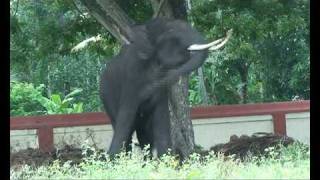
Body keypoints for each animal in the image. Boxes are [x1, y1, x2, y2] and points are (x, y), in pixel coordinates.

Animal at [99, 17, 231, 157]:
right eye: (171, 30)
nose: (228, 31)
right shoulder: (131, 76)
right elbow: (125, 122)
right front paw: (114, 158)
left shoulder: (160, 90)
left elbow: (161, 124)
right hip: (107, 97)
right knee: (126, 129)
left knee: (144, 134)